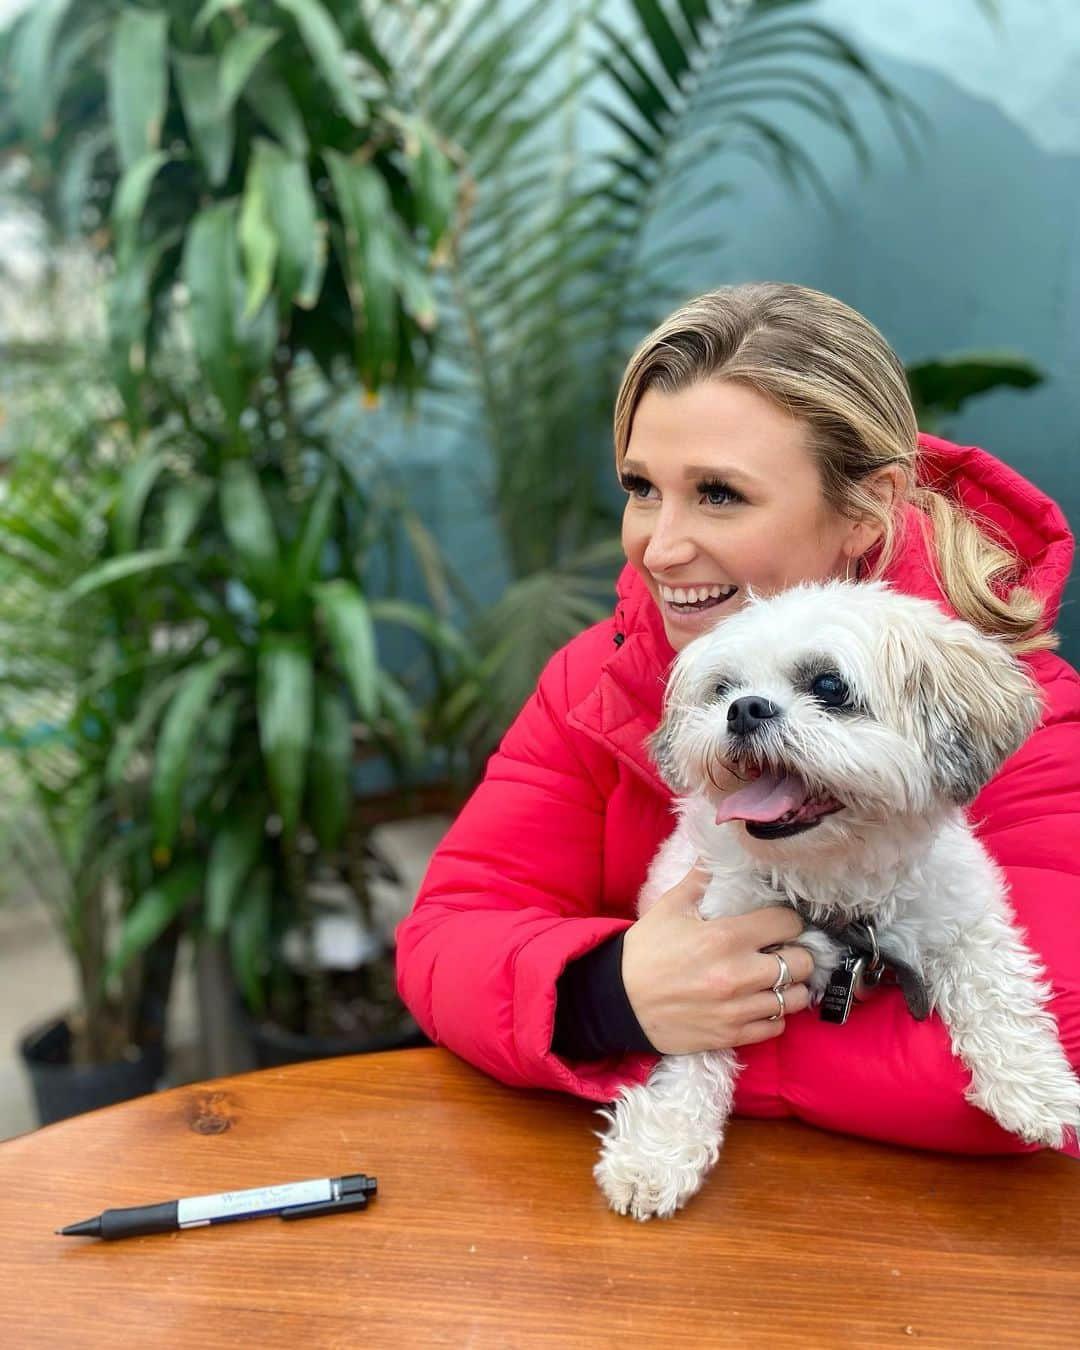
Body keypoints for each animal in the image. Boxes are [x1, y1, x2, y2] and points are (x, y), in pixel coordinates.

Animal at [594, 580, 1074, 1225]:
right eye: (722, 688)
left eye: (829, 686)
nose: (744, 709)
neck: (834, 887)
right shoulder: (704, 960)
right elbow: (692, 1053)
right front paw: (656, 1153)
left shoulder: (962, 912)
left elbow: (995, 986)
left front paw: (1033, 1088)